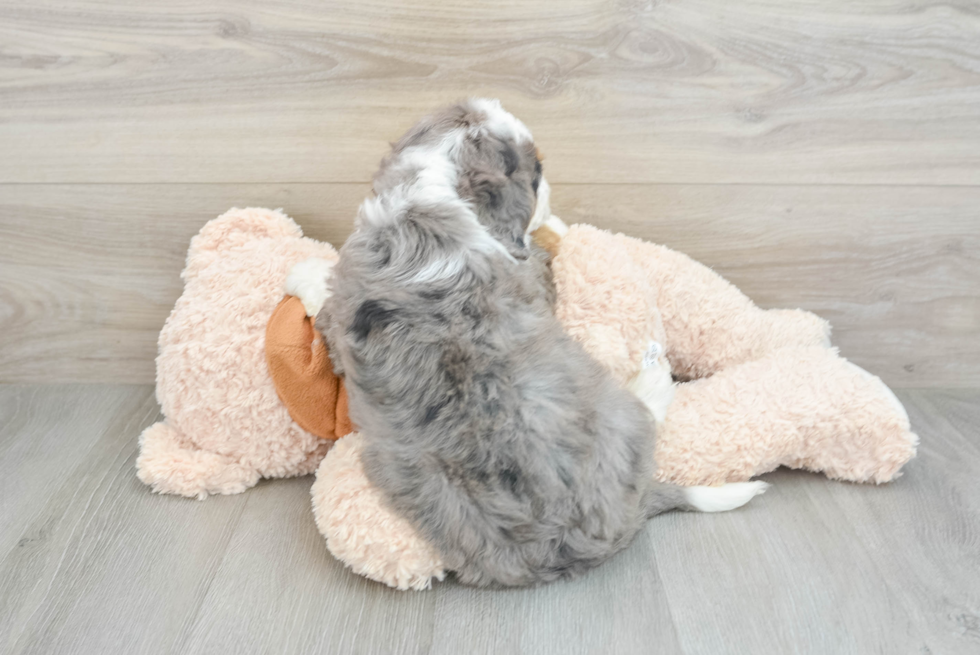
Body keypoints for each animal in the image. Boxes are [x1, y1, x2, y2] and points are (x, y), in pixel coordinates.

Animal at [322, 98, 764, 588]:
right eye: (535, 174)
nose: (549, 189)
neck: (421, 194)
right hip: (619, 414)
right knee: (649, 413)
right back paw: (654, 379)